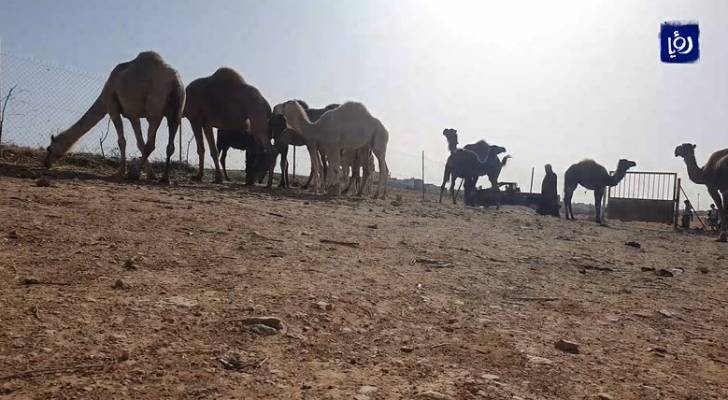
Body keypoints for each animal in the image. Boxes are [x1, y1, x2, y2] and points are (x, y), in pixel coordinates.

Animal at [44, 50, 185, 182]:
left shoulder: (112, 106)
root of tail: (175, 80)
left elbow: (122, 141)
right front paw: (151, 175)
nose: (46, 163)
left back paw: (133, 174)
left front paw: (119, 173)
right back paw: (165, 178)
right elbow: (139, 143)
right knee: (169, 144)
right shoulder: (133, 114)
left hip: (155, 108)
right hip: (176, 112)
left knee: (151, 143)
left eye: (49, 148)